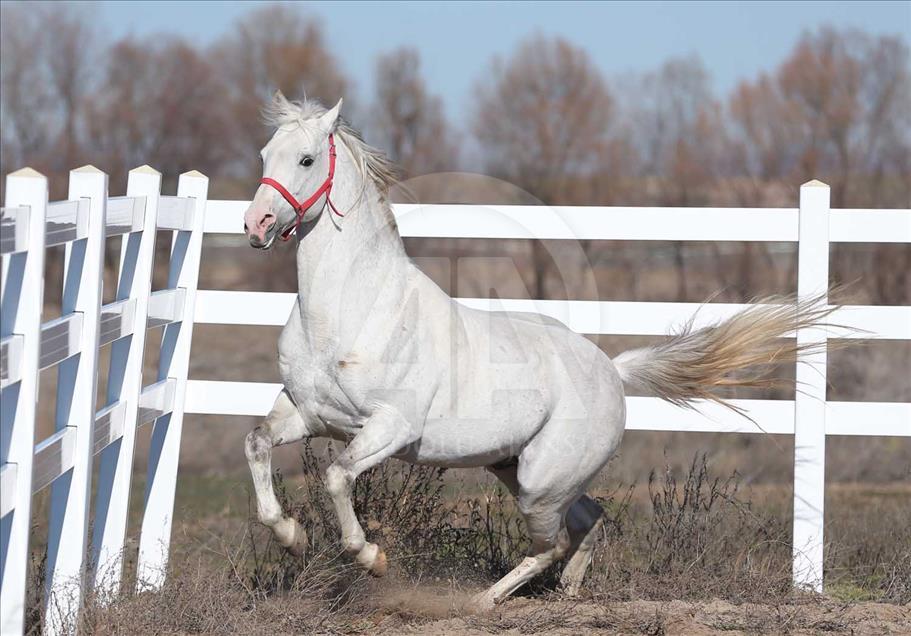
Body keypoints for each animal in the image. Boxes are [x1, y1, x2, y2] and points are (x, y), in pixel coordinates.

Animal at [242, 91, 831, 610]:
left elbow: (338, 476)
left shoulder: (390, 426)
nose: (255, 225)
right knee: (589, 520)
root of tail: (613, 372)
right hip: (520, 468)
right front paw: (291, 536)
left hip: (541, 483)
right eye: (264, 154)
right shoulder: (308, 413)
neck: (346, 314)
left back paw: (481, 603)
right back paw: (568, 591)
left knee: (554, 541)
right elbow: (258, 443)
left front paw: (371, 558)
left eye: (306, 159)